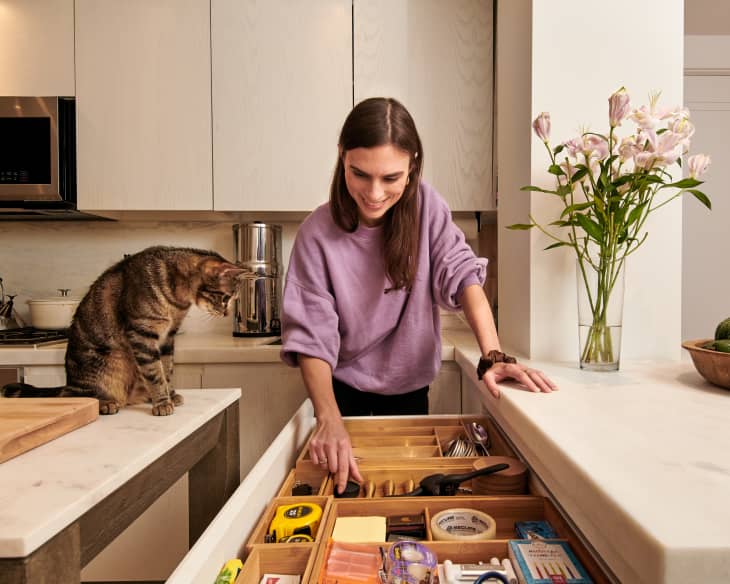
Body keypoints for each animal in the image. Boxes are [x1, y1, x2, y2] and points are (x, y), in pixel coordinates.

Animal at [1, 245, 246, 416]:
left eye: (233, 299)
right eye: (226, 298)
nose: (226, 314)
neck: (178, 299)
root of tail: (69, 382)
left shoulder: (168, 337)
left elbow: (166, 370)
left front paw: (169, 395)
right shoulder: (141, 333)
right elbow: (155, 373)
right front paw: (162, 402)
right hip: (106, 365)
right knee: (80, 397)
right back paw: (106, 403)